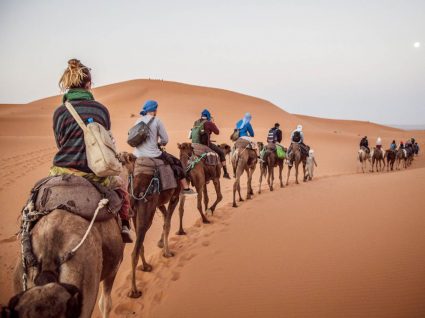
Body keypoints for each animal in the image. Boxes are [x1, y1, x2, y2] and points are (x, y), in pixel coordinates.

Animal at [117, 153, 181, 300]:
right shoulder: (175, 196)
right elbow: (167, 223)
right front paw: (167, 253)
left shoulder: (159, 203)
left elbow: (165, 219)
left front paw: (161, 244)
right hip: (147, 209)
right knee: (135, 249)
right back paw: (134, 291)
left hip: (135, 211)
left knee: (139, 242)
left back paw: (146, 266)